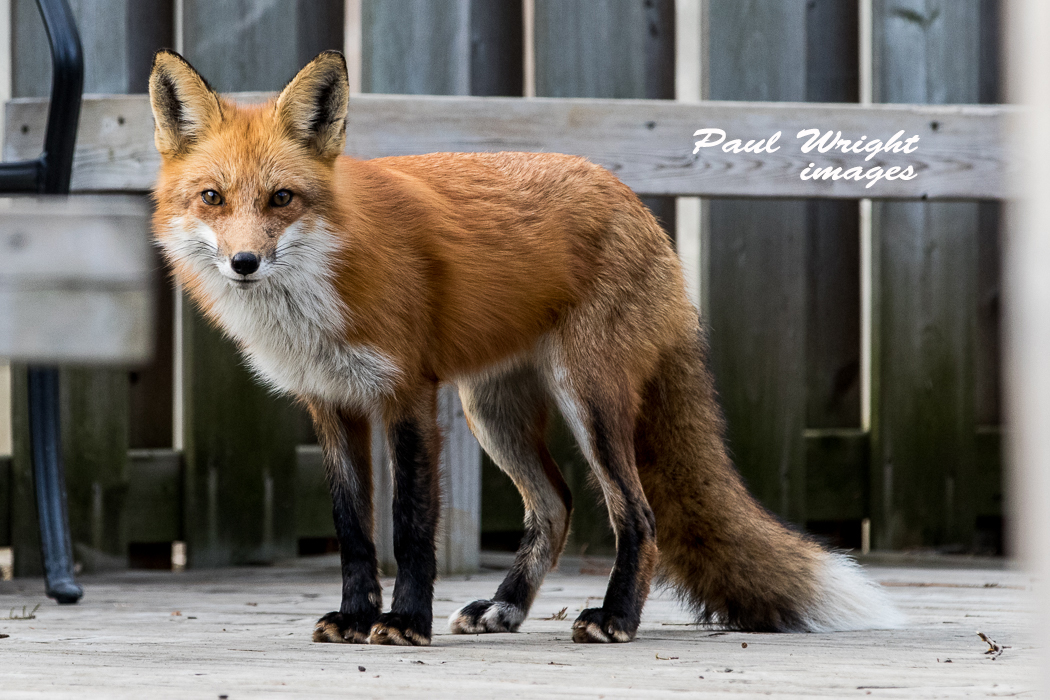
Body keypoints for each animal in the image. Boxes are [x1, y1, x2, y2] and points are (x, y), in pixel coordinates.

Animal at [148, 49, 901, 646]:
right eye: (212, 197)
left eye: (281, 198)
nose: (244, 262)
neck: (326, 279)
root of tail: (636, 203)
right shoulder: (332, 402)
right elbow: (354, 529)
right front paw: (356, 617)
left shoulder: (407, 395)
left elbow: (411, 527)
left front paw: (405, 622)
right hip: (494, 411)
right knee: (555, 506)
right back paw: (507, 607)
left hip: (588, 401)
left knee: (639, 514)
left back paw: (615, 618)